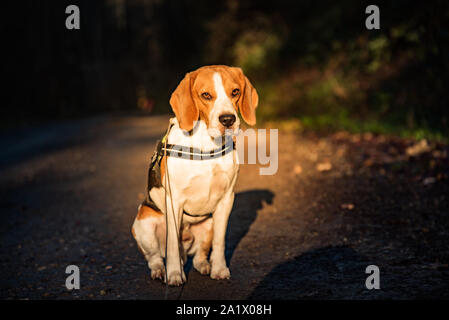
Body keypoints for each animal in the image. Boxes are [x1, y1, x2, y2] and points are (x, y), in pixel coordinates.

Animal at [131, 64, 258, 284]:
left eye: (235, 92)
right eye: (206, 95)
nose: (228, 119)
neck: (207, 144)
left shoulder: (226, 200)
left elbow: (220, 242)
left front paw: (220, 268)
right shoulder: (174, 201)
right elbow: (172, 244)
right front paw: (174, 274)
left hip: (208, 224)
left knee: (199, 255)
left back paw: (205, 266)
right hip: (143, 224)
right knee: (155, 257)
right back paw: (160, 270)